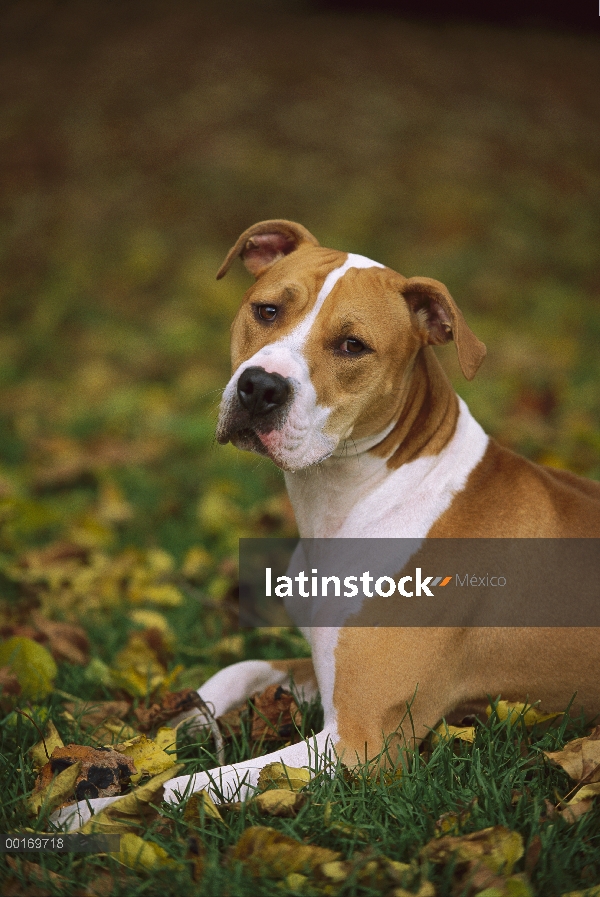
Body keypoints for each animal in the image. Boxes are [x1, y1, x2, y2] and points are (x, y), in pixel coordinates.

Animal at [56, 220, 600, 828]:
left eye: (352, 346)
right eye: (267, 310)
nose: (260, 387)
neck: (360, 495)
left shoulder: (360, 740)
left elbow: (199, 784)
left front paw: (99, 810)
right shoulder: (321, 668)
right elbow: (242, 666)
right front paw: (175, 723)